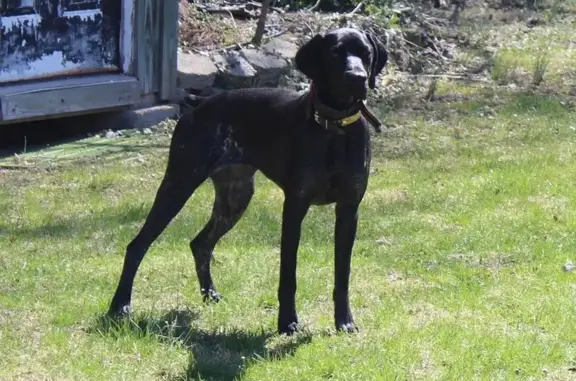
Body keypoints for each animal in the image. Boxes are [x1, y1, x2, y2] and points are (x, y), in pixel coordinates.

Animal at [108, 28, 388, 334]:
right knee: (137, 246)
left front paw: (344, 321)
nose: (357, 77)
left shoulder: (349, 211)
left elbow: (342, 274)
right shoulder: (295, 208)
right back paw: (120, 305)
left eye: (366, 53)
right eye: (336, 52)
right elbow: (288, 274)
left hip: (235, 198)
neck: (335, 128)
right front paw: (288, 321)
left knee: (200, 243)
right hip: (178, 185)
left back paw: (210, 294)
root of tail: (196, 108)